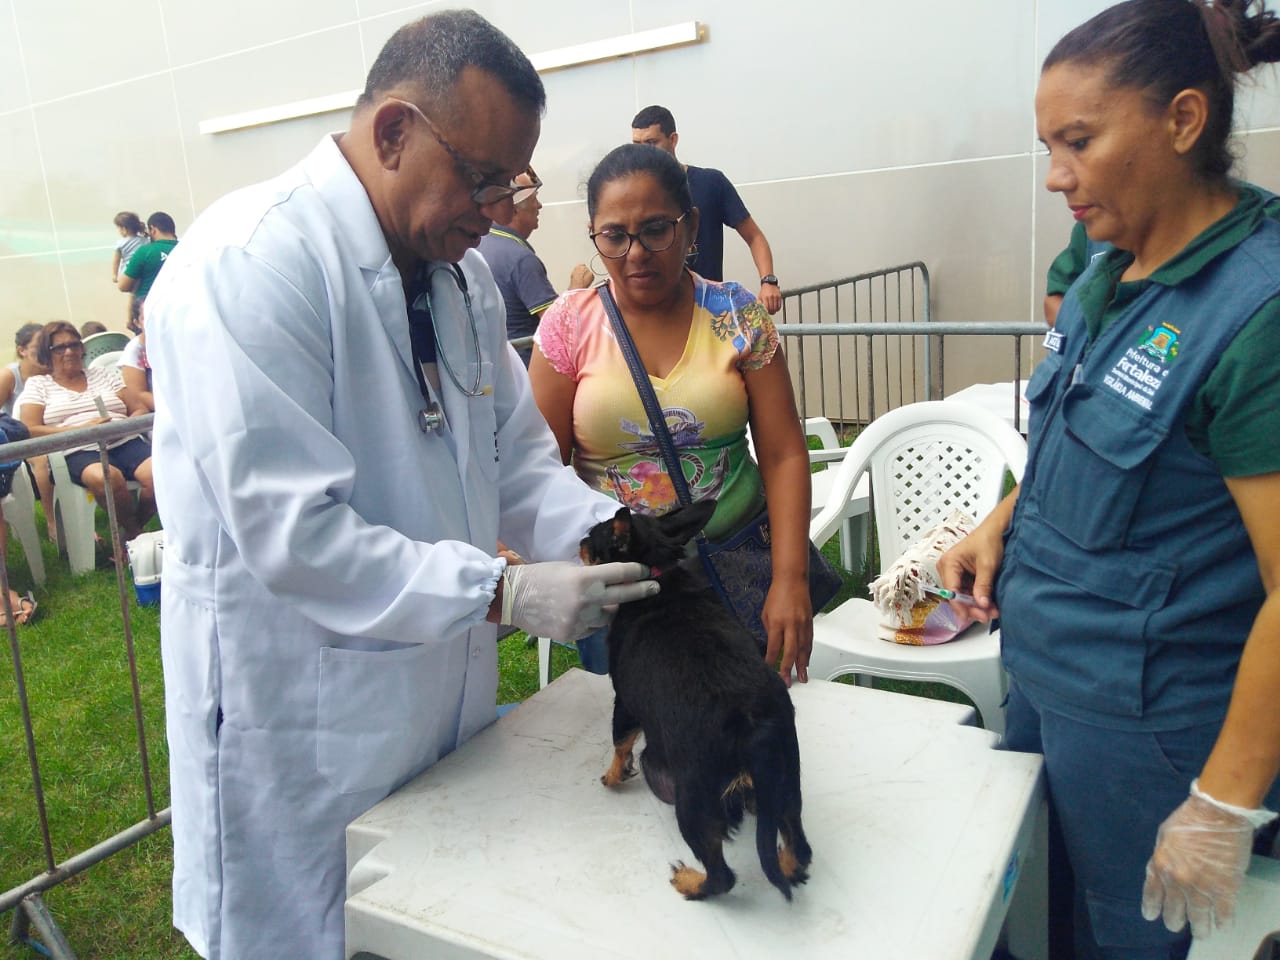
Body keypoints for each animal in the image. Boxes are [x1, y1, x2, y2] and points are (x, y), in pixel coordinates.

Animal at [581, 504, 808, 901]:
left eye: (594, 537)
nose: (578, 541)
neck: (657, 574)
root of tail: (754, 725)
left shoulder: (623, 702)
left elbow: (620, 742)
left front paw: (612, 775)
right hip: (785, 782)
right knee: (798, 845)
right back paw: (785, 862)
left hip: (692, 802)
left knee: (722, 876)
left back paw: (690, 881)